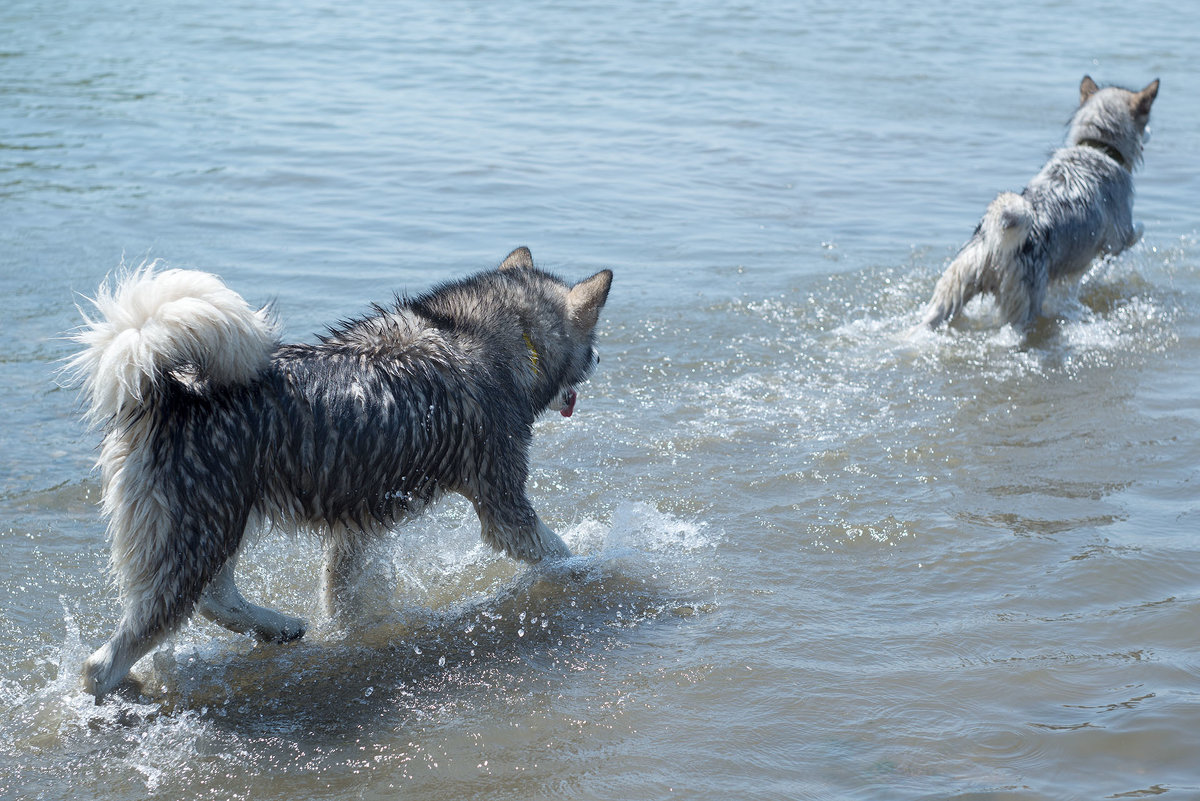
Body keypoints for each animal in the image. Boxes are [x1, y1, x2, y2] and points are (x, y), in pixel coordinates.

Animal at [70, 247, 614, 695]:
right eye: (591, 342)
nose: (600, 357)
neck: (482, 335)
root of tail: (166, 391)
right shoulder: (503, 506)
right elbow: (558, 551)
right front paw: (593, 562)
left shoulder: (357, 525)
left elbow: (343, 596)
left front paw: (350, 634)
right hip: (196, 533)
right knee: (106, 660)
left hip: (218, 523)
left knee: (213, 599)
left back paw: (278, 628)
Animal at [916, 72, 1161, 328]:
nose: (1151, 132)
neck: (1097, 147)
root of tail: (994, 244)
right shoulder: (1118, 239)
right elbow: (1137, 231)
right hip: (1023, 309)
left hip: (948, 296)